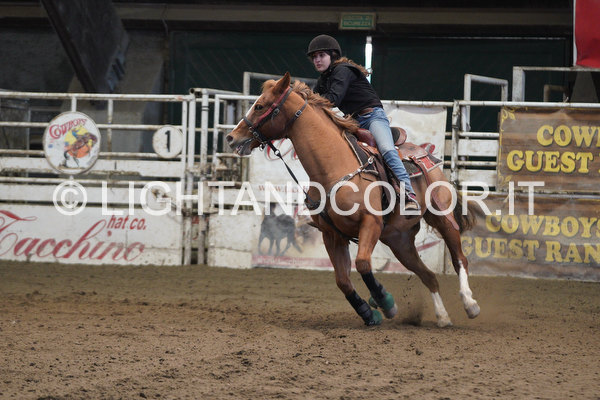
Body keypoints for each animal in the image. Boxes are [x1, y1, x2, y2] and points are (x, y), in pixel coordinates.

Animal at [226, 72, 480, 327]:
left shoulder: (371, 223)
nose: (231, 137)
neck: (333, 167)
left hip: (442, 218)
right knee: (428, 276)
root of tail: (425, 154)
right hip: (399, 241)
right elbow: (343, 280)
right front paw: (369, 313)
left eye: (260, 106)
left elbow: (363, 263)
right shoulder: (332, 235)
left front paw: (385, 301)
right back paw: (443, 316)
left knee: (460, 260)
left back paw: (470, 303)